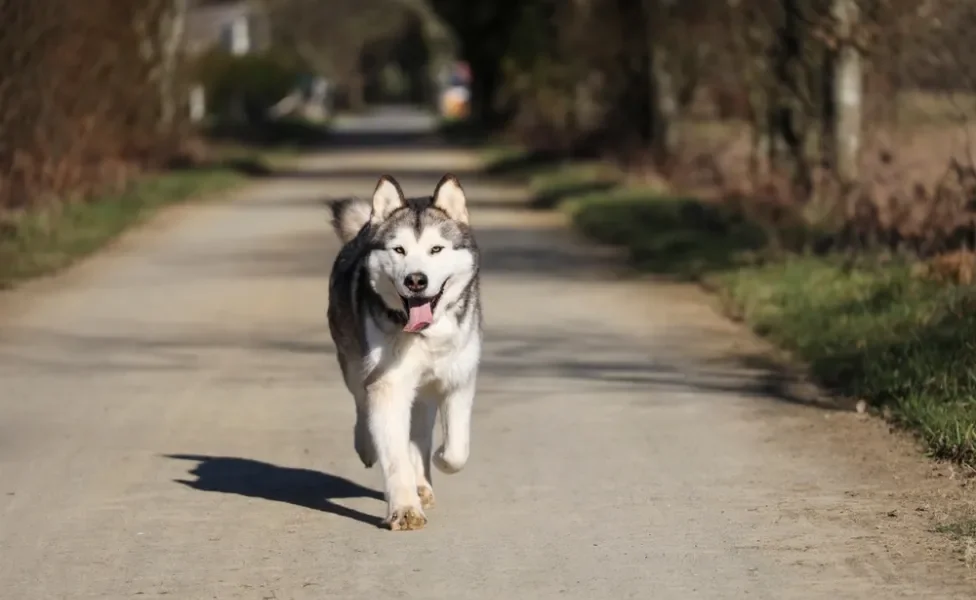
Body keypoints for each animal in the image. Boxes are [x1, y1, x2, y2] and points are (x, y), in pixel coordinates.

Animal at [326, 172, 482, 528]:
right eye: (399, 249)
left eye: (436, 249)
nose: (416, 280)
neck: (426, 335)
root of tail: (365, 229)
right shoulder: (388, 384)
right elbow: (394, 455)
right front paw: (405, 509)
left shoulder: (459, 381)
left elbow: (457, 451)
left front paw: (439, 460)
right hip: (354, 364)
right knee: (362, 404)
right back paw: (368, 448)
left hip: (424, 392)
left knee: (420, 432)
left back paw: (423, 479)